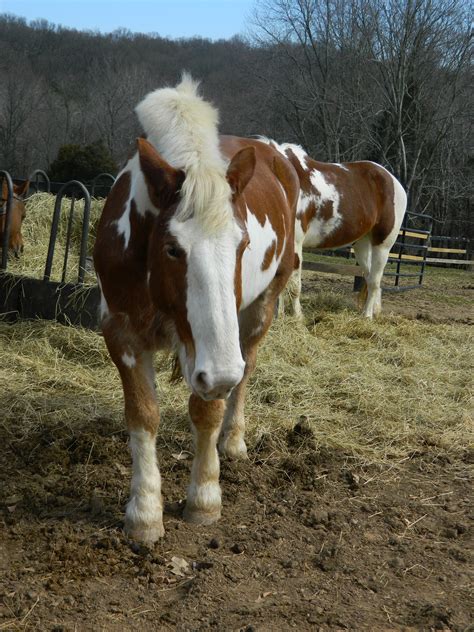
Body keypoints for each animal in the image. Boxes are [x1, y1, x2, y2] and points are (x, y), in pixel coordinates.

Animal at [94, 75, 298, 544]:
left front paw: (204, 496)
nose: (220, 373)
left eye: (242, 244)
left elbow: (208, 410)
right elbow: (143, 414)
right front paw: (145, 512)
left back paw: (233, 441)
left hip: (260, 311)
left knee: (247, 369)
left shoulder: (218, 352)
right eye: (172, 248)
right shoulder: (121, 333)